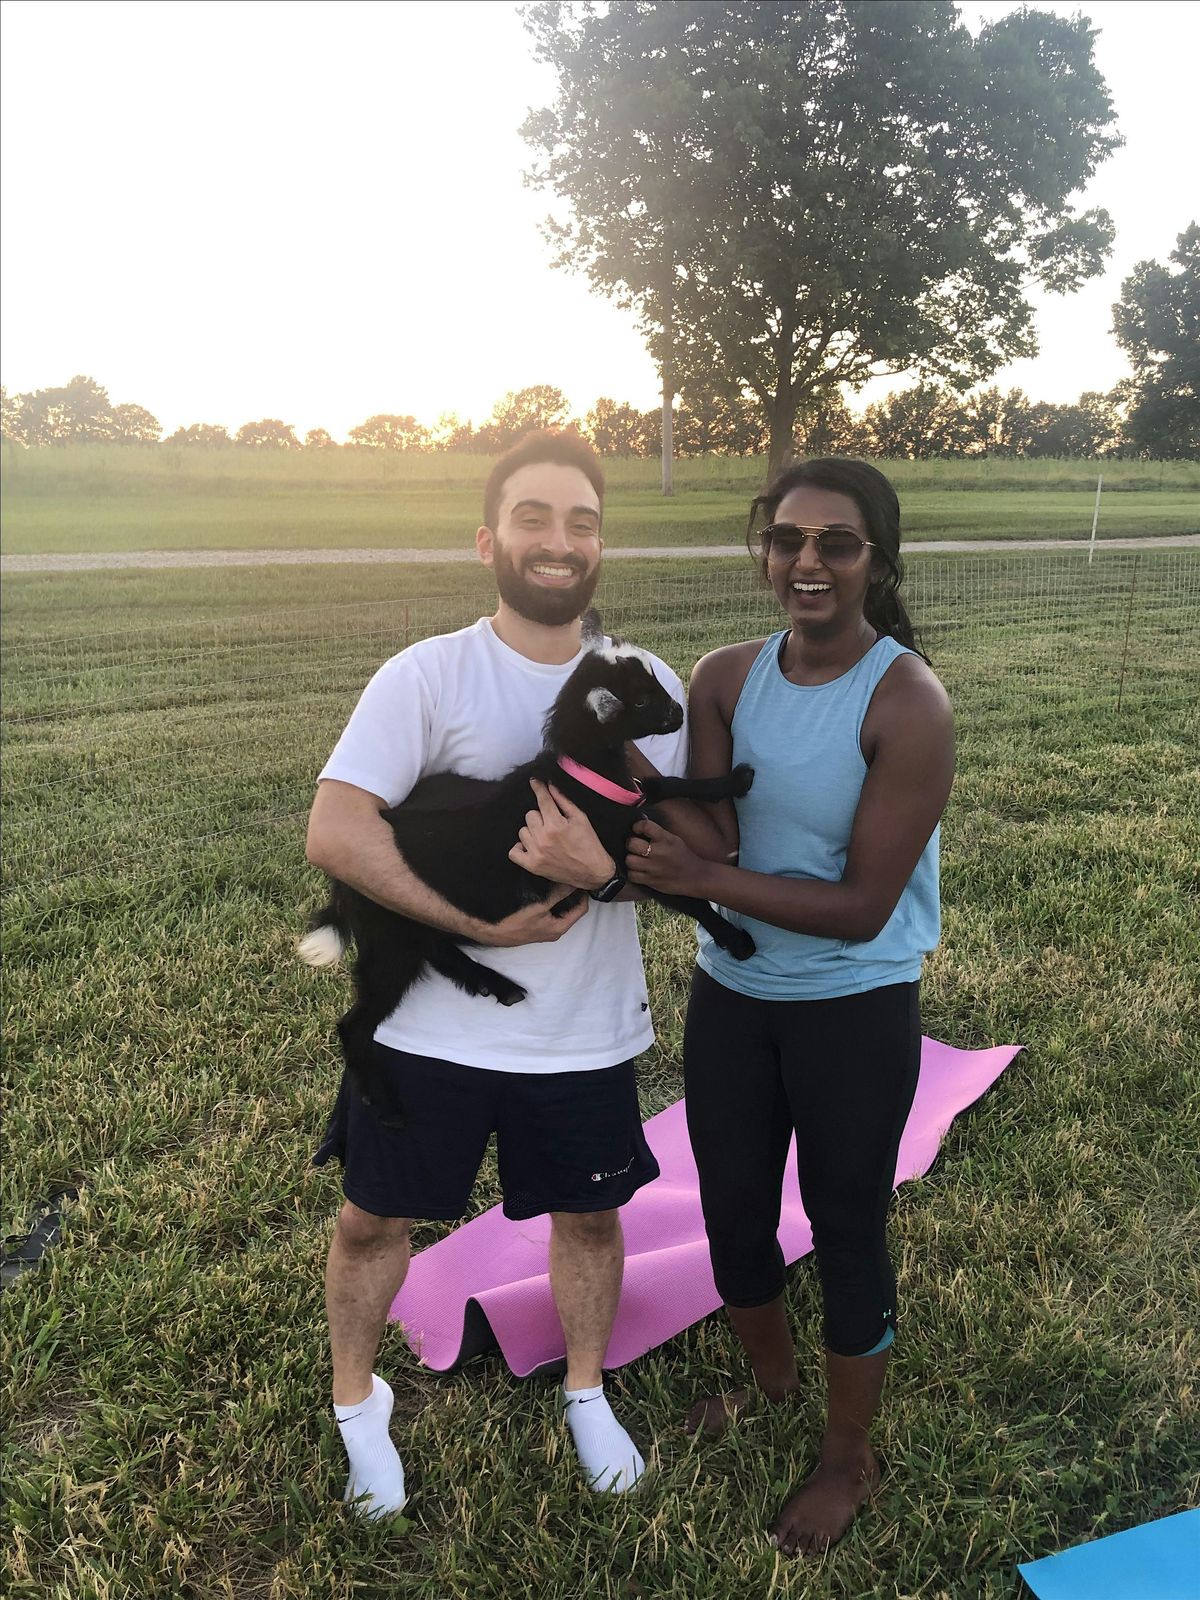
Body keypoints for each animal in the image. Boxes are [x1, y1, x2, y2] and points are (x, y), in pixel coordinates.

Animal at [300, 630, 752, 1120]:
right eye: (641, 700)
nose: (679, 713)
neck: (582, 778)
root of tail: (342, 885)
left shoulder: (633, 799)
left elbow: (666, 783)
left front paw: (734, 781)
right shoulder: (618, 860)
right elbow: (685, 896)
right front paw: (736, 940)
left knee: (438, 947)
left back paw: (493, 984)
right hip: (390, 933)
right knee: (357, 1021)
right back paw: (385, 1105)